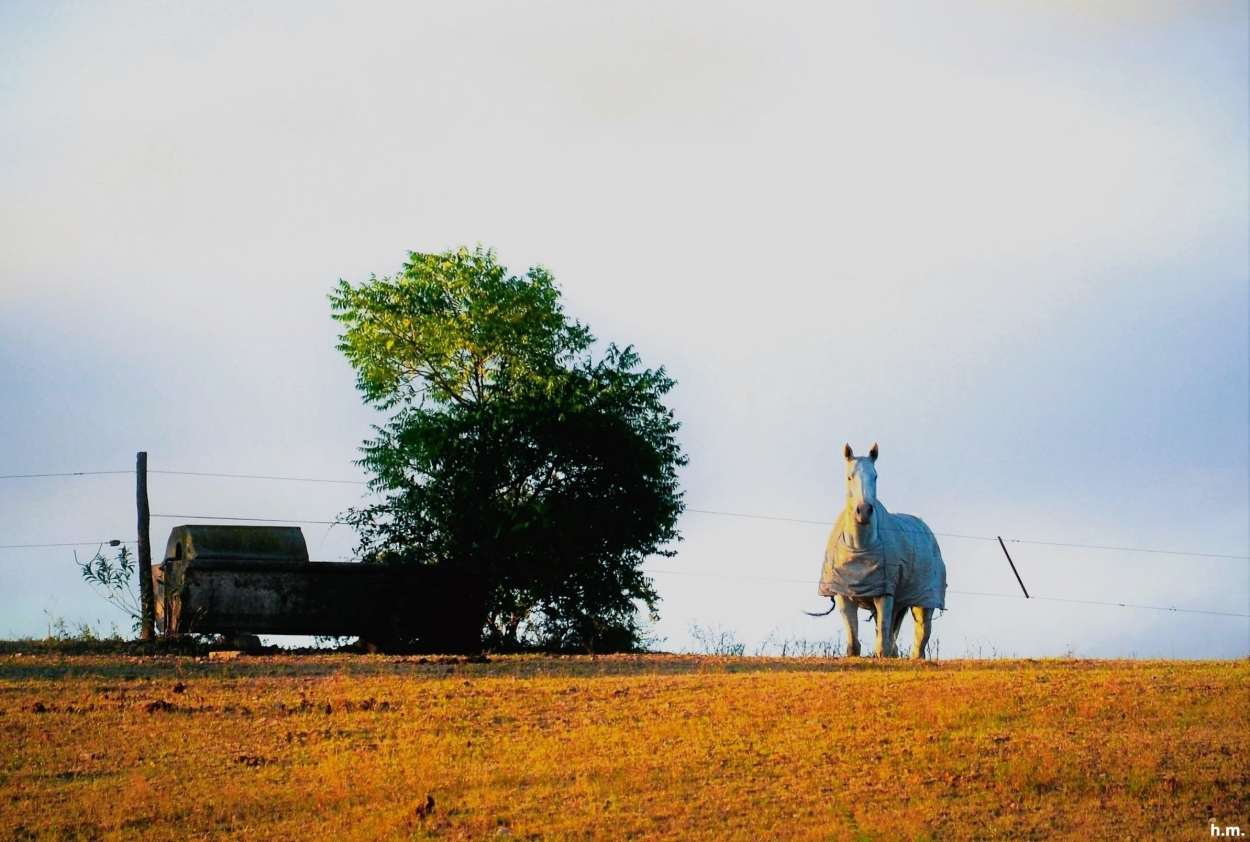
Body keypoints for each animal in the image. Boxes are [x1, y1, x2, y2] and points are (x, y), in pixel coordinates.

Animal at [810, 442, 945, 654]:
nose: (864, 511)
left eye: (875, 476)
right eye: (849, 477)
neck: (860, 548)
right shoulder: (844, 596)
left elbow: (882, 645)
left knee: (918, 645)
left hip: (923, 604)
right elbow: (854, 644)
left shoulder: (885, 597)